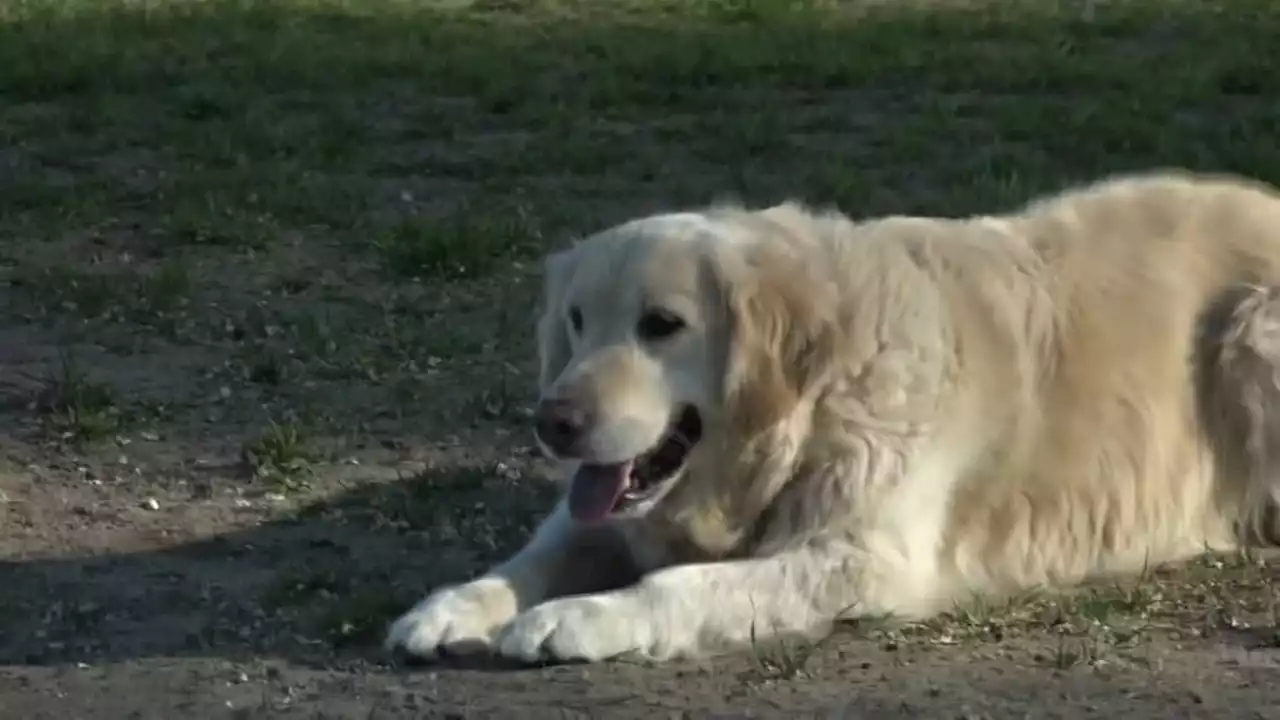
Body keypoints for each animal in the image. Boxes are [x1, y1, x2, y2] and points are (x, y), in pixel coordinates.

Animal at [384, 167, 1280, 661]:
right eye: (575, 321)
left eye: (661, 324)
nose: (554, 423)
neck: (812, 407)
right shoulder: (605, 509)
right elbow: (530, 558)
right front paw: (450, 605)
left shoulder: (864, 555)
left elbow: (681, 584)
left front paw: (578, 618)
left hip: (1250, 330)